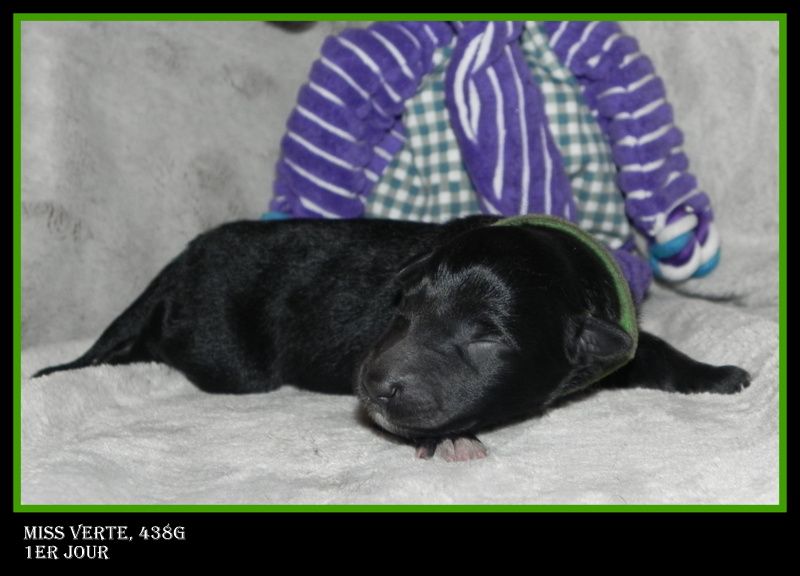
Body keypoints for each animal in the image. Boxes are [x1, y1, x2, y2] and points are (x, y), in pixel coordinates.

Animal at [33, 215, 750, 461]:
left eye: (485, 337)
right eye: (401, 309)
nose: (373, 386)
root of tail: (178, 264)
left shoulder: (608, 338)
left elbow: (648, 351)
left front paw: (714, 374)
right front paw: (448, 439)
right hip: (225, 355)